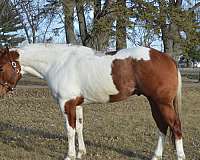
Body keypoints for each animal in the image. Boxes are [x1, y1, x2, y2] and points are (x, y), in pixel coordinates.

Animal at [10, 43, 185, 160]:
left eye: (4, 65)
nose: (6, 90)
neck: (58, 63)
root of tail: (168, 58)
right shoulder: (77, 105)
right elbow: (79, 128)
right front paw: (81, 153)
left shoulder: (67, 104)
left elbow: (70, 130)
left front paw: (70, 155)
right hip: (154, 103)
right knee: (162, 126)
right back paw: (156, 156)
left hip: (162, 103)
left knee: (175, 126)